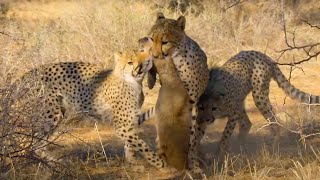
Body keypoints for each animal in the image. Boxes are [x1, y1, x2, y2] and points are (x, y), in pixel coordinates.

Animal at [15, 50, 175, 171]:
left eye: (142, 62)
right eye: (130, 62)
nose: (139, 70)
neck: (131, 82)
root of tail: (26, 74)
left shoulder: (130, 121)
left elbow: (131, 143)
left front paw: (132, 162)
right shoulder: (122, 126)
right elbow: (142, 144)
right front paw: (161, 164)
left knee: (37, 142)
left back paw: (54, 163)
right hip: (50, 114)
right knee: (31, 142)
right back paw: (49, 164)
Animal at [139, 11, 209, 172]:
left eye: (165, 42)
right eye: (152, 38)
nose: (155, 55)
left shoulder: (193, 101)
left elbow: (192, 138)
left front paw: (194, 164)